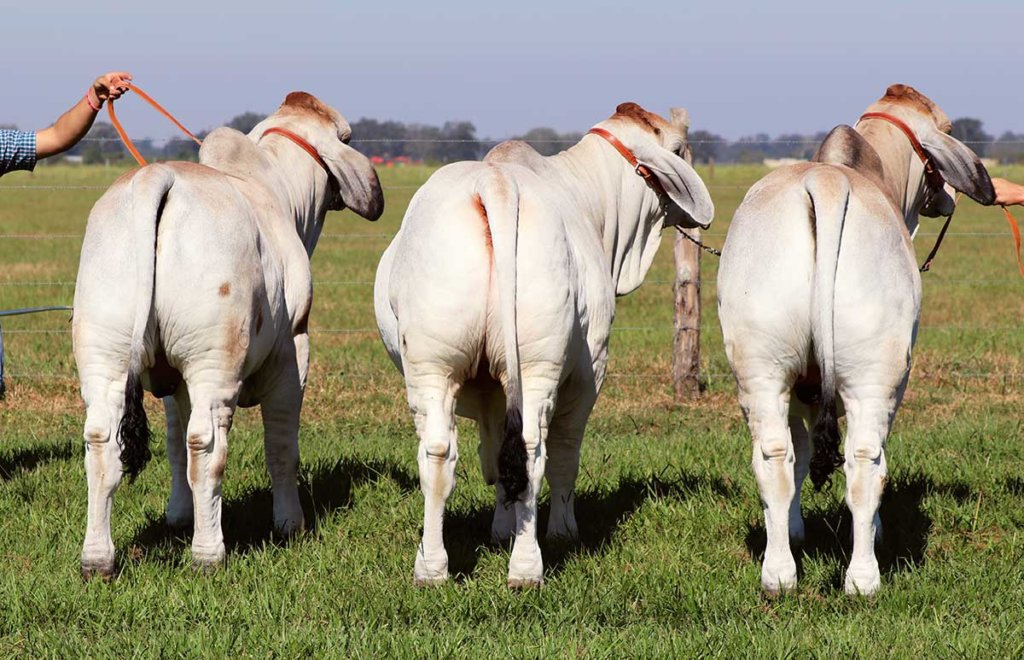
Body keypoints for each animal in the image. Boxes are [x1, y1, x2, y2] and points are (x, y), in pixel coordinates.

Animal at [73, 92, 384, 577]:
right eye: (348, 137)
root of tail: (158, 178)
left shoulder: (175, 380)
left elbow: (173, 445)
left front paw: (179, 515)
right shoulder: (293, 354)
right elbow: (281, 447)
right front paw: (290, 523)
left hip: (105, 352)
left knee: (104, 444)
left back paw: (98, 558)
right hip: (213, 362)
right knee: (206, 446)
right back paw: (208, 553)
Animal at [374, 103, 714, 587]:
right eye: (681, 148)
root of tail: (495, 185)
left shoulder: (493, 388)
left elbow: (498, 458)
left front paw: (501, 528)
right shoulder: (590, 370)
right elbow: (564, 456)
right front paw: (561, 530)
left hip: (431, 365)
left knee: (440, 452)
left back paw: (432, 567)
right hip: (541, 365)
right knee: (537, 449)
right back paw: (526, 567)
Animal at [716, 84, 994, 596]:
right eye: (947, 129)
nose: (948, 197)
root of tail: (825, 185)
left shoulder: (802, 390)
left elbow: (801, 456)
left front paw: (795, 529)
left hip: (761, 369)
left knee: (775, 457)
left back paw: (779, 573)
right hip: (876, 376)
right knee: (866, 463)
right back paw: (863, 578)